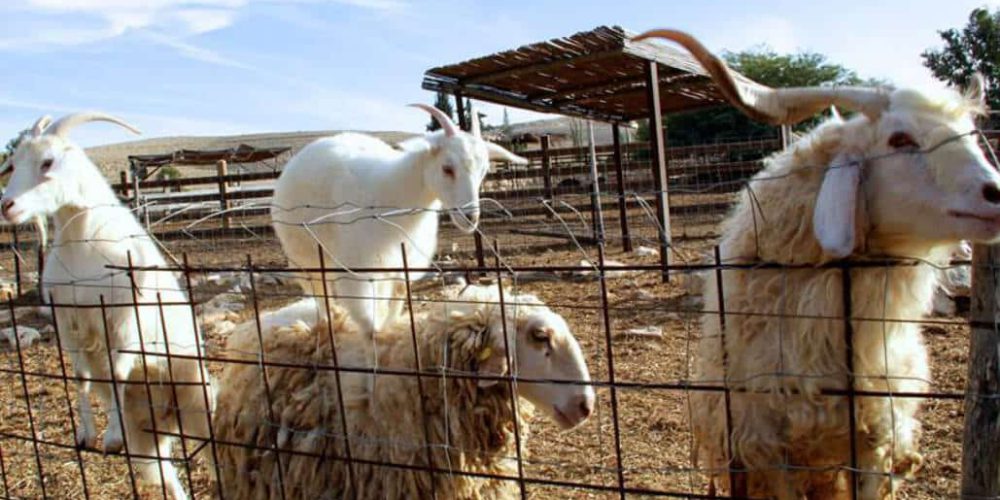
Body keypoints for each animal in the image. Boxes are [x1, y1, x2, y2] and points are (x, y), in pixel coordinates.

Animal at [2, 112, 215, 500]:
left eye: (47, 162)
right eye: (12, 164)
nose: (6, 206)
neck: (83, 242)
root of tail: (166, 417)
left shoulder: (123, 318)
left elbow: (117, 372)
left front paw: (111, 438)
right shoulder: (68, 321)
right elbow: (81, 376)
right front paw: (85, 436)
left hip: (198, 402)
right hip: (145, 440)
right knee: (166, 474)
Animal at [270, 104, 528, 336]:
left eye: (483, 170)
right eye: (447, 168)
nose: (470, 217)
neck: (394, 190)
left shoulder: (400, 258)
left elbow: (398, 292)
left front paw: (387, 324)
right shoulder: (359, 260)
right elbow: (362, 303)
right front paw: (372, 332)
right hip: (304, 253)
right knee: (317, 287)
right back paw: (327, 321)